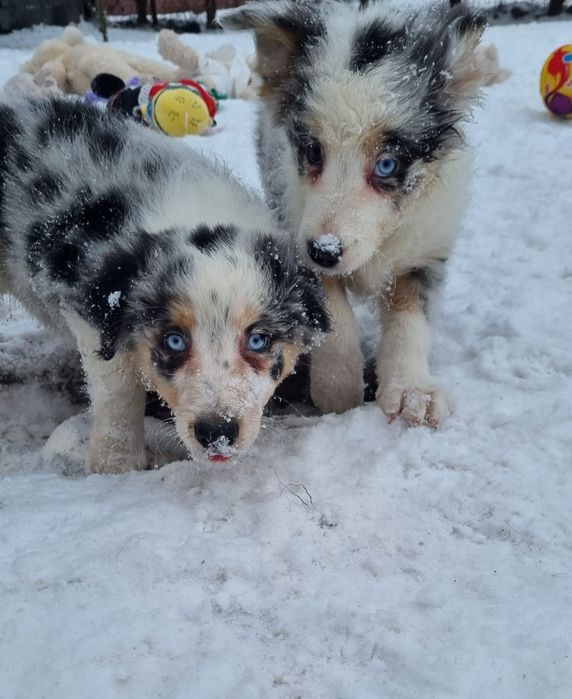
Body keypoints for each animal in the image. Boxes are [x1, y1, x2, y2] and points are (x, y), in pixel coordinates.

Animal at [0, 96, 329, 473]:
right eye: (174, 340)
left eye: (258, 340)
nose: (217, 433)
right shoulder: (91, 309)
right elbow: (118, 389)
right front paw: (115, 467)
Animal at [221, 0, 485, 426]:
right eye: (313, 151)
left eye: (387, 164)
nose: (325, 251)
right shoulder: (296, 225)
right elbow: (330, 307)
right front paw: (338, 390)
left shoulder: (426, 244)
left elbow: (411, 317)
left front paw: (413, 391)